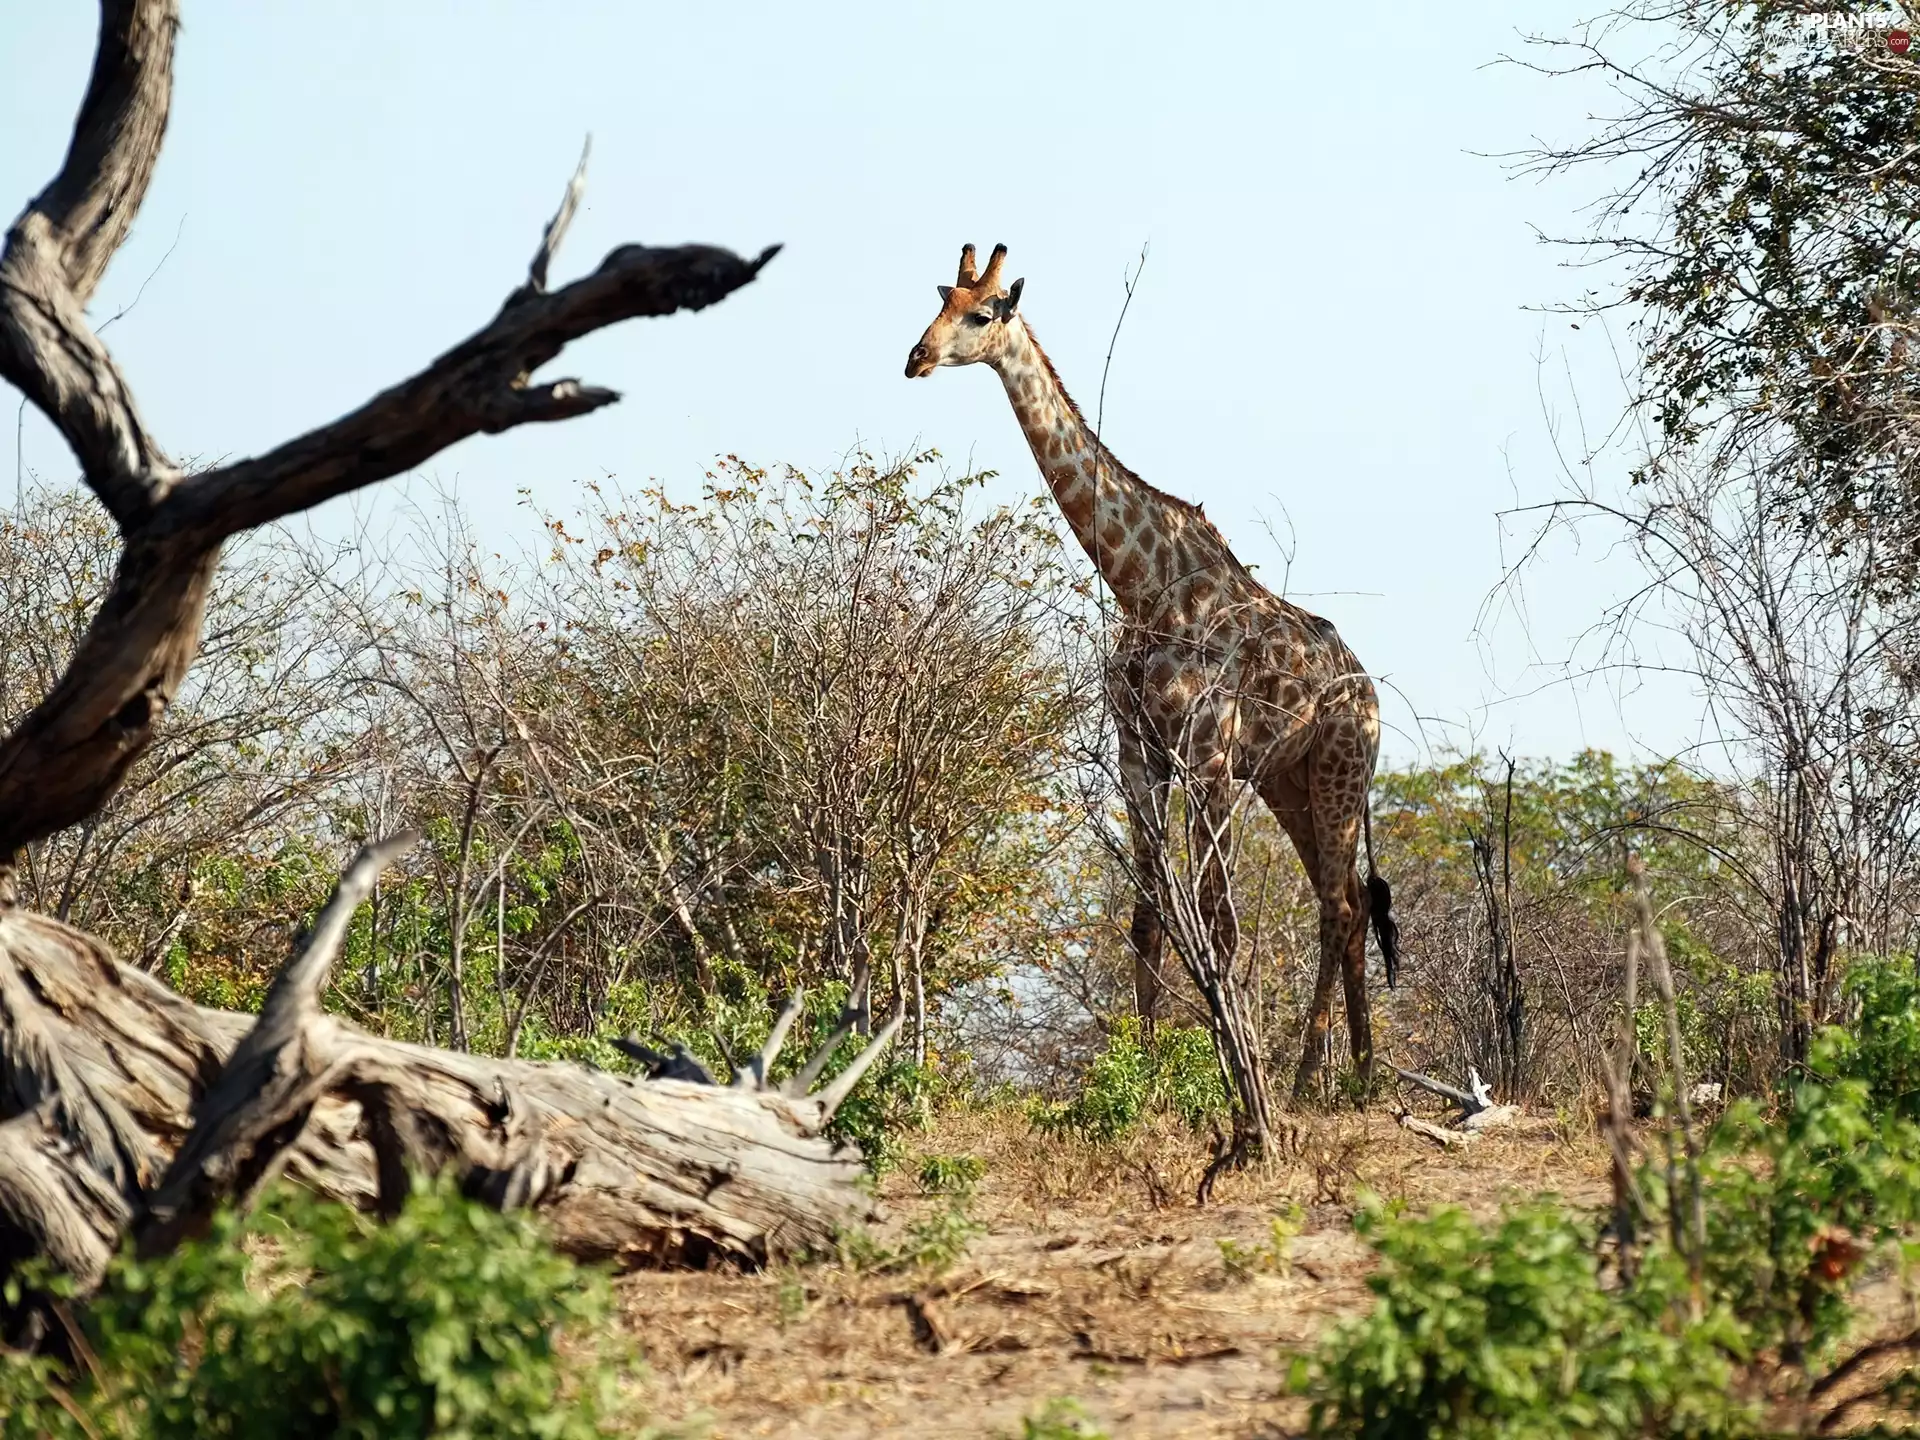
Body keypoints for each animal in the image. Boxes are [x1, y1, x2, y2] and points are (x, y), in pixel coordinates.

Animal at [905, 243, 1399, 1095]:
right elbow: (1145, 921)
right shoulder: (1140, 752)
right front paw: (1144, 1078)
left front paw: (1236, 1073)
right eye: (937, 305)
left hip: (1340, 773)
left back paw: (1309, 1082)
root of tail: (1368, 691)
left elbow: (1218, 924)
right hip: (1291, 783)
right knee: (1349, 904)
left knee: (1338, 909)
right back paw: (1361, 1075)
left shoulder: (1207, 758)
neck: (1139, 582)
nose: (916, 357)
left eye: (983, 313)